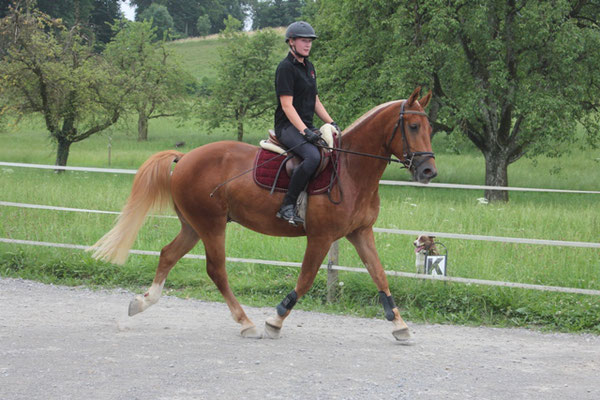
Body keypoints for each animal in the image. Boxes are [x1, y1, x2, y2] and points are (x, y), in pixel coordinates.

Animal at [89, 86, 436, 340]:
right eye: (413, 126)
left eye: (429, 127)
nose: (428, 171)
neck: (350, 169)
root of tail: (185, 157)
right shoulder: (321, 237)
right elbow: (305, 279)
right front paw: (275, 320)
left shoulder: (360, 232)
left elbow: (379, 275)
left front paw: (399, 325)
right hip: (211, 225)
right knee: (216, 270)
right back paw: (246, 322)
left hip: (193, 225)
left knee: (168, 254)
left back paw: (141, 302)